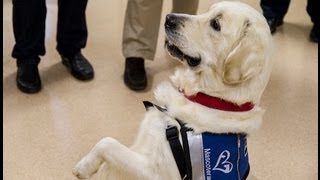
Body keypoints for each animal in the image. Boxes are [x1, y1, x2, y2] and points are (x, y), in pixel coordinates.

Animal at [72, 1, 272, 180]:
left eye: (216, 24)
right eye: (208, 11)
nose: (169, 18)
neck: (209, 99)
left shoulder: (156, 172)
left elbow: (108, 142)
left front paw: (83, 168)